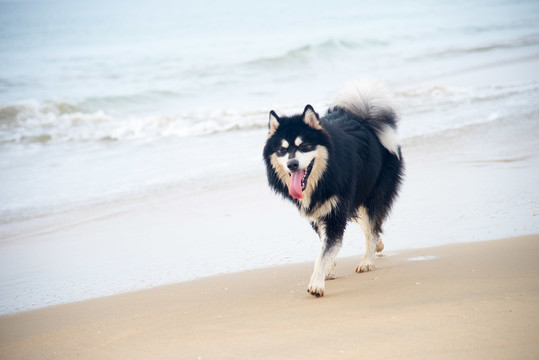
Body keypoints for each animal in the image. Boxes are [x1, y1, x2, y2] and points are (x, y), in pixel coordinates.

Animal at [262, 82, 404, 298]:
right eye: (282, 150)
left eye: (304, 146)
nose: (292, 165)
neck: (323, 177)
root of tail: (364, 120)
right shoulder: (320, 212)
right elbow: (325, 245)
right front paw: (328, 269)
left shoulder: (334, 214)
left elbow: (324, 252)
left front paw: (316, 284)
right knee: (370, 226)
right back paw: (378, 246)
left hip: (371, 196)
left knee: (371, 228)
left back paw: (367, 261)